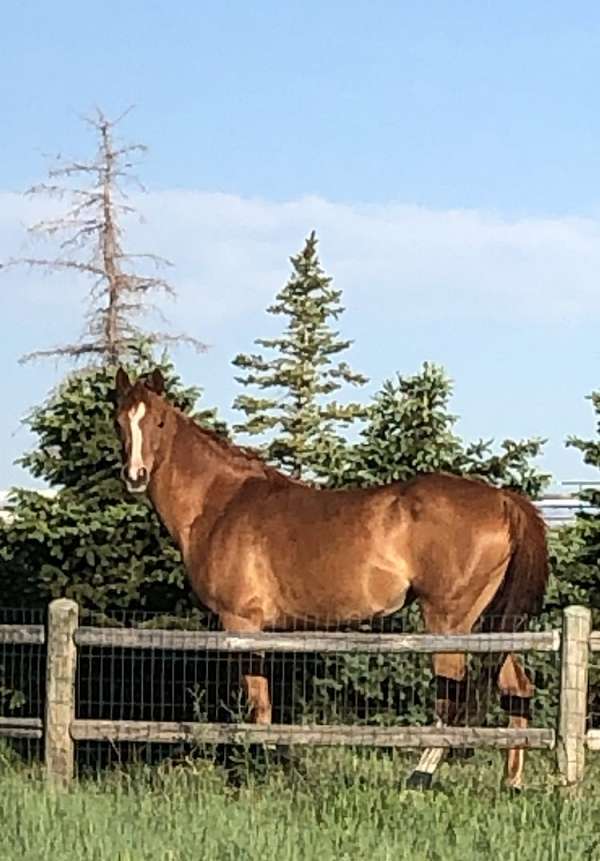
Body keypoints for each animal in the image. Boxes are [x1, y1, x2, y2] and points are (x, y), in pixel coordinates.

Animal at [114, 367, 549, 790]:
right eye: (120, 421)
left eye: (159, 420)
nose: (135, 475)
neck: (223, 502)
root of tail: (505, 500)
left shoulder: (242, 623)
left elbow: (259, 705)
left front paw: (266, 770)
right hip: (490, 625)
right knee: (516, 689)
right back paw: (511, 782)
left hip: (450, 623)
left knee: (452, 698)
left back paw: (419, 777)